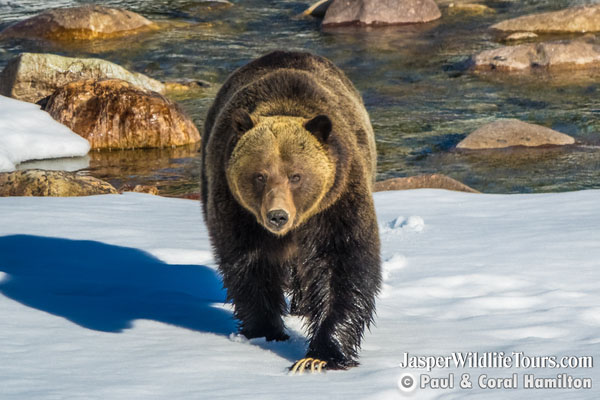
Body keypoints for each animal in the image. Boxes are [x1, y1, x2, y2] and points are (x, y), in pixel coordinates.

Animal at [200, 50, 380, 372]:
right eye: (260, 175)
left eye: (296, 175)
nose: (277, 215)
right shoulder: (237, 209)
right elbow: (249, 266)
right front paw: (265, 331)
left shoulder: (337, 201)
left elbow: (343, 265)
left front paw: (321, 355)